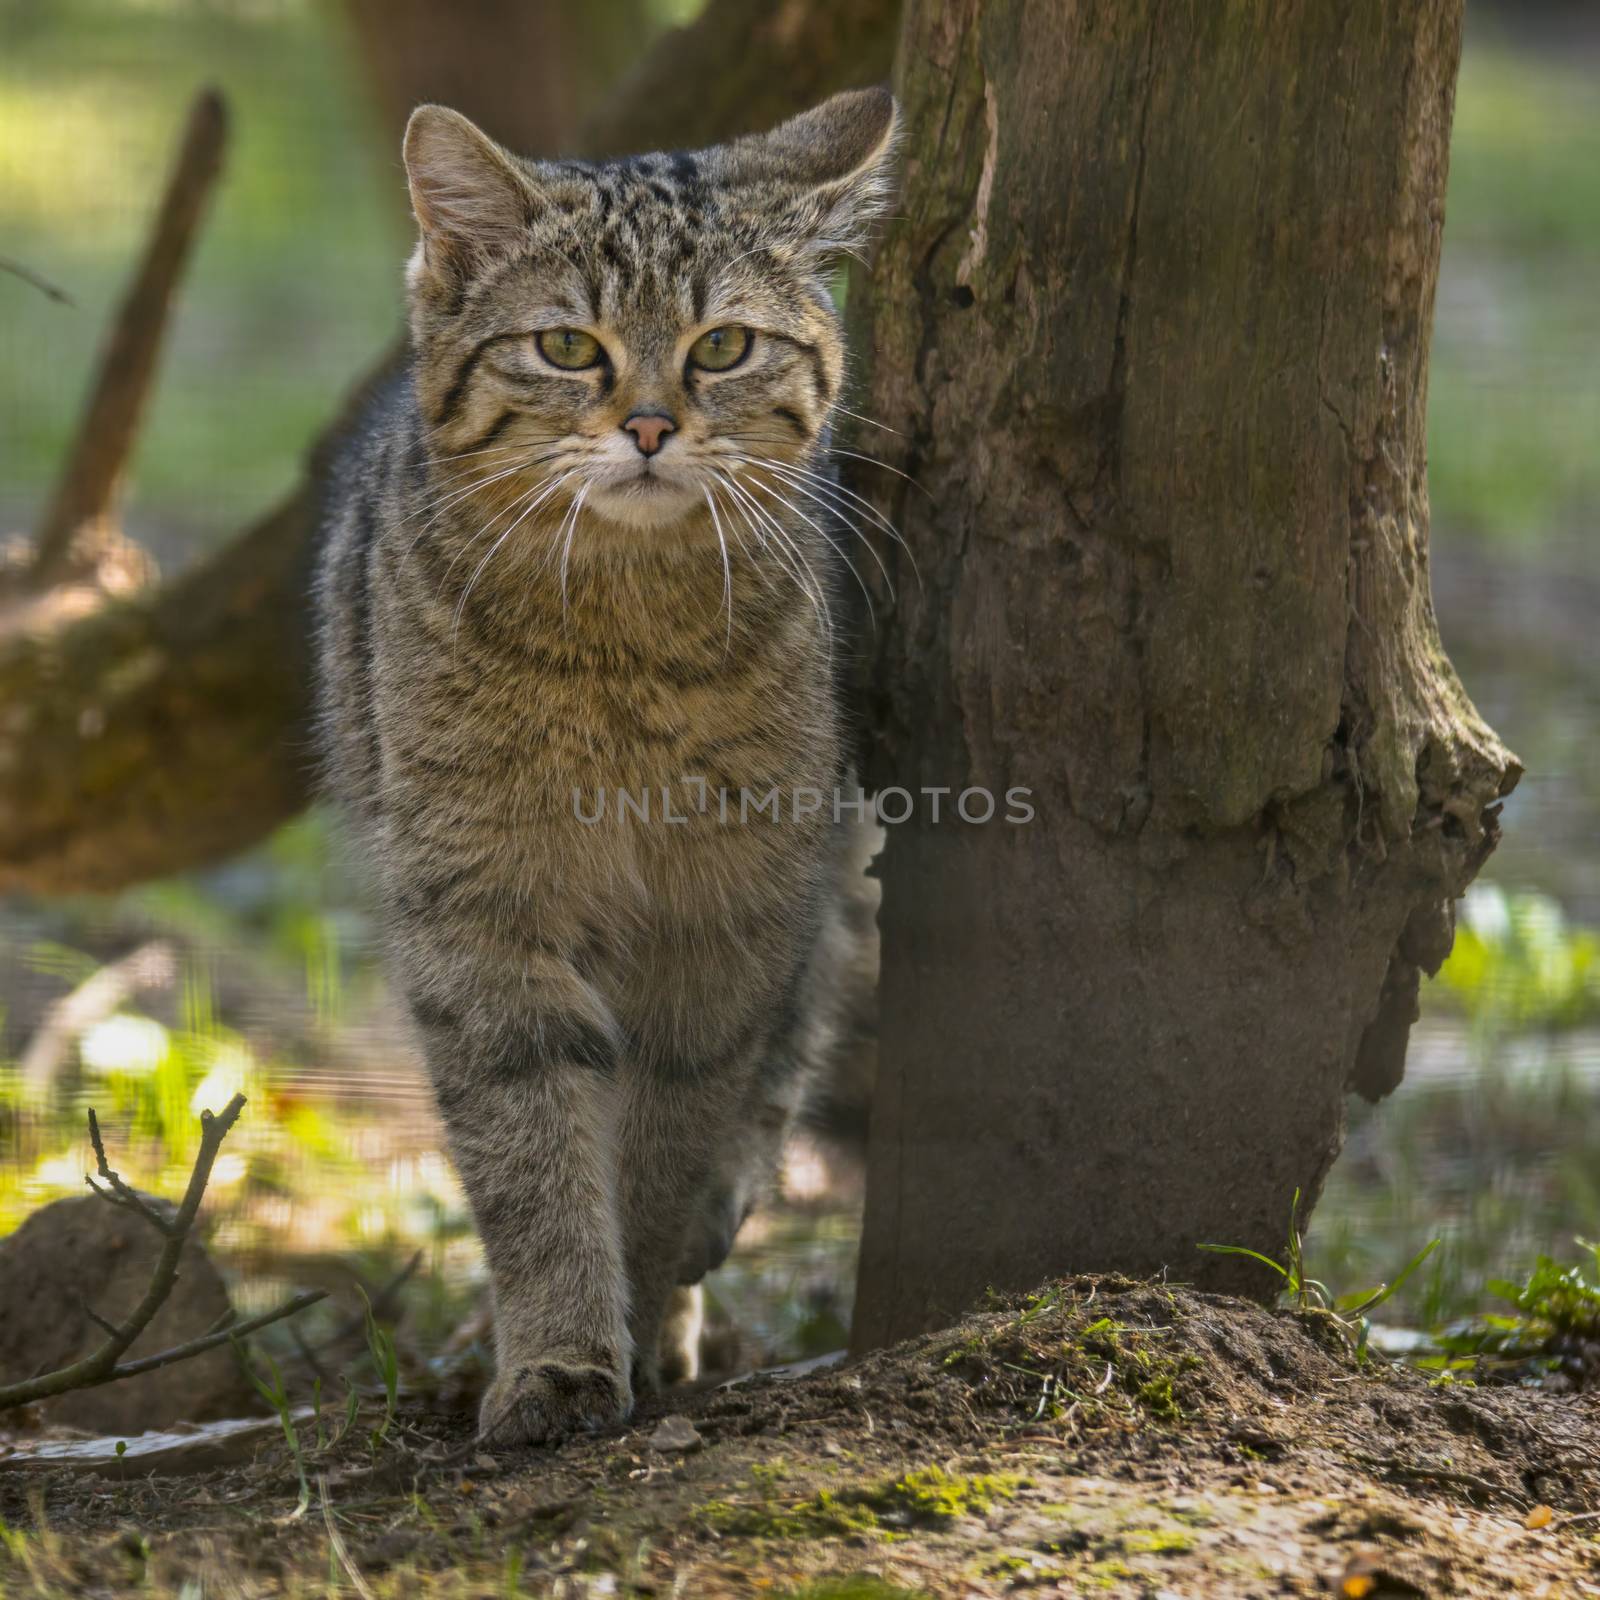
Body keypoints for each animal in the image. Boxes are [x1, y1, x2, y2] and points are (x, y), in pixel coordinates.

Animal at [312, 87, 902, 1446]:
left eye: (723, 346)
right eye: (567, 347)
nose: (646, 426)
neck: (621, 651)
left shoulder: (726, 909)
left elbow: (673, 1125)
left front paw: (638, 1294)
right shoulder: (481, 908)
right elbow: (531, 1153)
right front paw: (561, 1356)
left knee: (782, 1057)